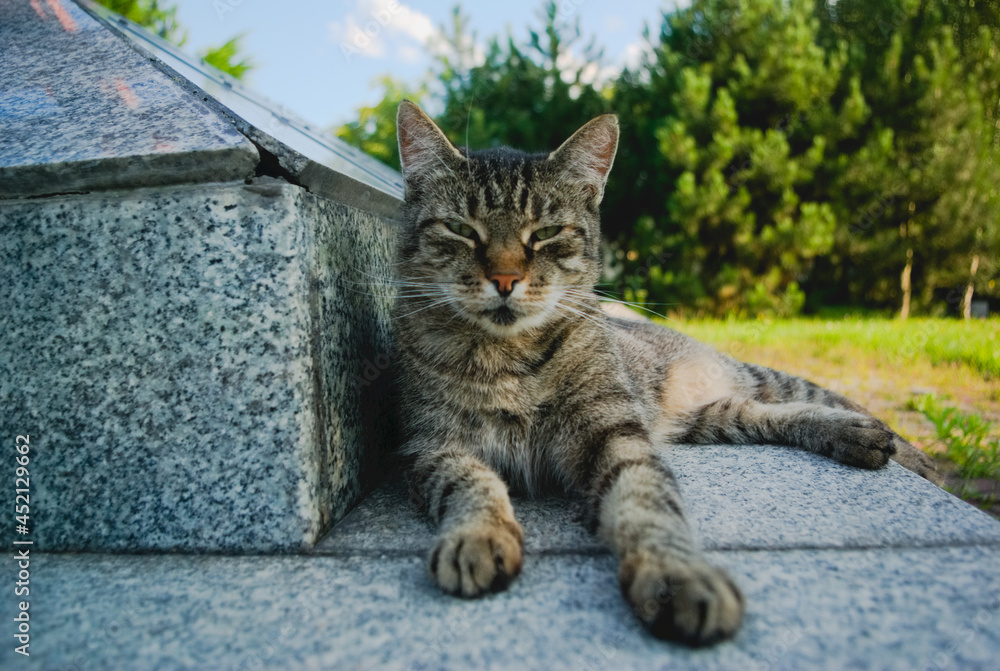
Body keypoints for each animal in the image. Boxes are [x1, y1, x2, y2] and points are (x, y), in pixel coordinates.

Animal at [388, 100, 936, 644]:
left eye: (545, 234)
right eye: (461, 229)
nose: (504, 279)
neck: (507, 357)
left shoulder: (614, 432)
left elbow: (645, 500)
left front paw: (676, 573)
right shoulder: (432, 447)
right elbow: (471, 486)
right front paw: (477, 535)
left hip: (735, 382)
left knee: (805, 395)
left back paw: (898, 447)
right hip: (713, 418)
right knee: (769, 414)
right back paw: (857, 436)